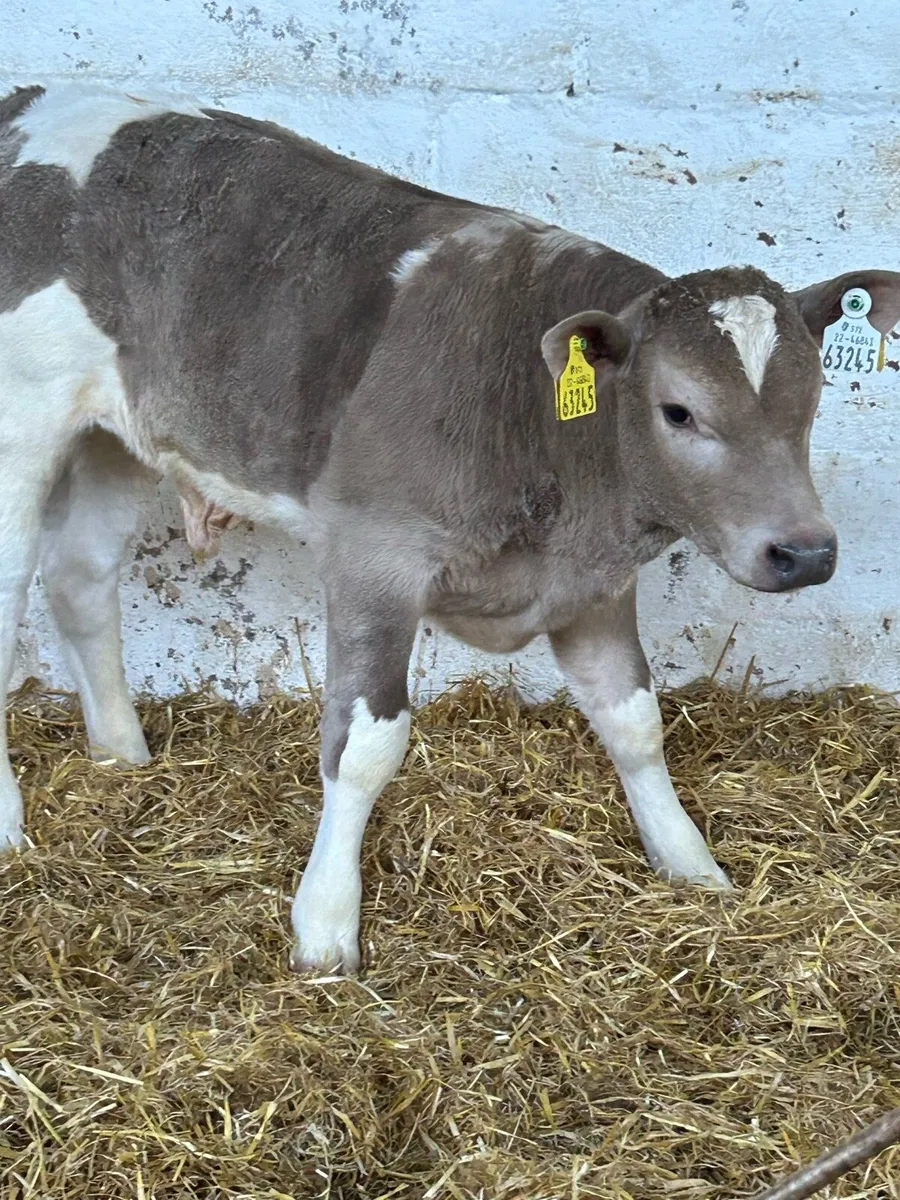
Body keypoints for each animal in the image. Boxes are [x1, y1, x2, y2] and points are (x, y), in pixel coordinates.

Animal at [1, 82, 898, 975]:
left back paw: (122, 753)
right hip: (23, 424)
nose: (805, 551)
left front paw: (690, 864)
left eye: (813, 401)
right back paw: (13, 825)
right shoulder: (373, 558)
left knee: (80, 578)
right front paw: (325, 927)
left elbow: (636, 721)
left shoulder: (593, 584)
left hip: (115, 436)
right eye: (678, 411)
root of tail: (36, 98)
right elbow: (365, 744)